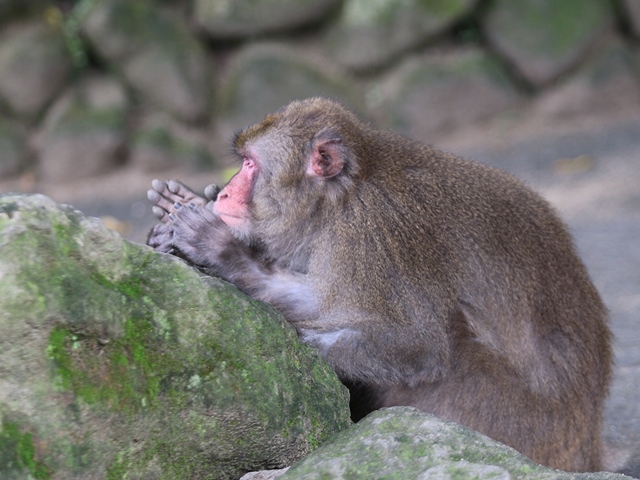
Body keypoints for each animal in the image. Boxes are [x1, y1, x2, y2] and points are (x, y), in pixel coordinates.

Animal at [145, 97, 608, 472]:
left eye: (250, 165)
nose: (224, 195)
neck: (343, 194)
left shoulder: (373, 236)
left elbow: (416, 346)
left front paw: (225, 252)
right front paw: (186, 202)